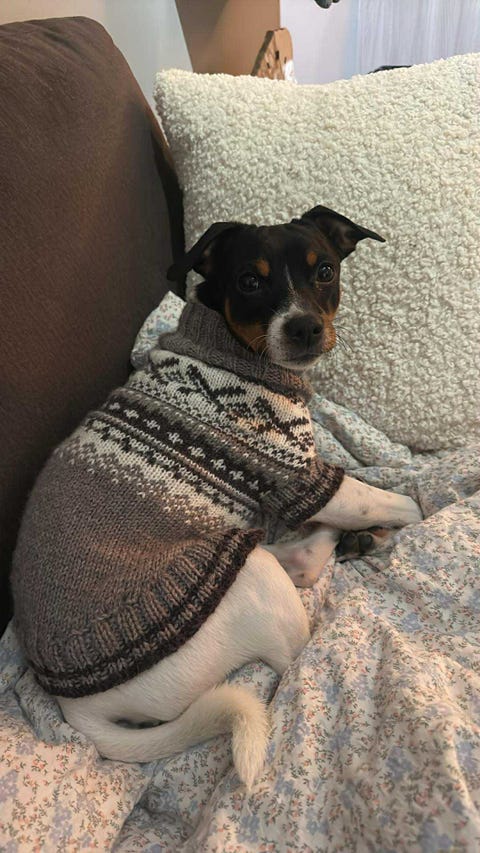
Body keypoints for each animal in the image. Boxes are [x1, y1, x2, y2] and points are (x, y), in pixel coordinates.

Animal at [12, 206, 423, 790]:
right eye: (249, 281)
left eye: (325, 272)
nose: (304, 327)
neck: (230, 348)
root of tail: (79, 711)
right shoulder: (298, 478)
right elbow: (391, 499)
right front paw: (418, 501)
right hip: (247, 579)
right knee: (298, 615)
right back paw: (345, 547)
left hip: (237, 555)